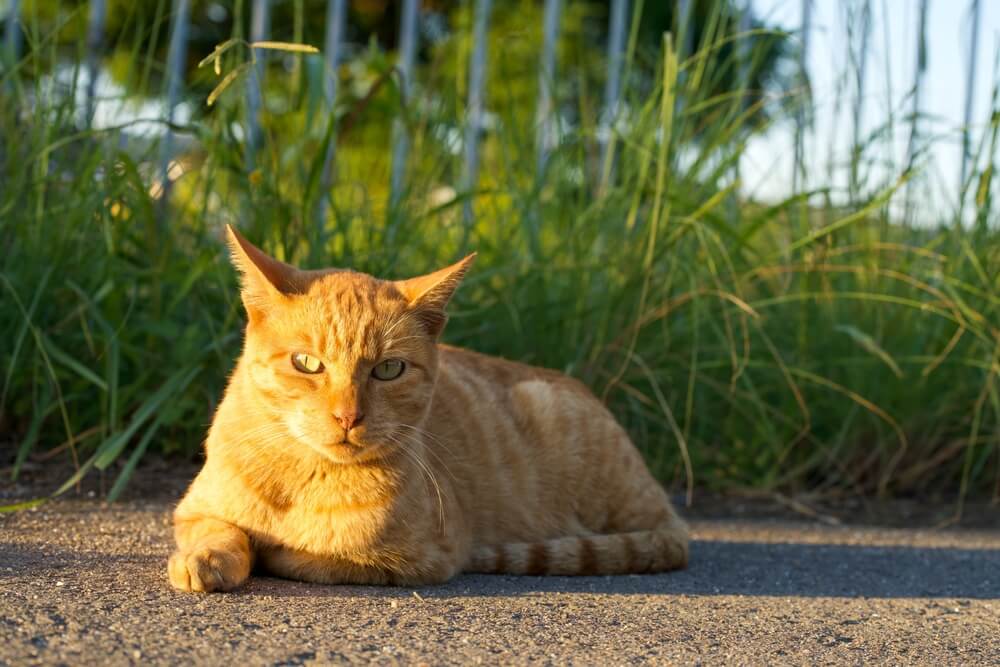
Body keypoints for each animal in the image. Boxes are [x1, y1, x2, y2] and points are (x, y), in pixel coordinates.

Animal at [168, 227, 692, 592]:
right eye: (307, 363)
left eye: (388, 369)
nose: (348, 417)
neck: (302, 478)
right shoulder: (193, 510)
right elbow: (221, 531)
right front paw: (207, 559)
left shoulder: (418, 559)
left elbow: (299, 555)